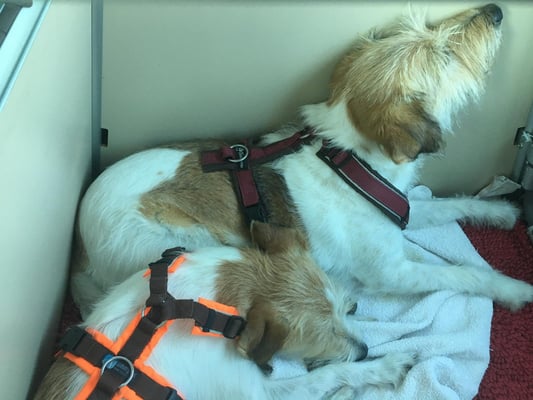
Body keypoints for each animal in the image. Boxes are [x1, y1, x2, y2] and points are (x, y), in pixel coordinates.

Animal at [35, 222, 415, 400]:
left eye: (347, 309)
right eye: (327, 334)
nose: (364, 349)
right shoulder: (255, 393)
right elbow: (331, 374)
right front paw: (385, 366)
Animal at [71, 3, 533, 319]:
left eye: (431, 28)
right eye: (444, 57)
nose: (495, 10)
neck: (351, 163)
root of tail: (80, 246)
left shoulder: (403, 212)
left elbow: (449, 205)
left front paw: (501, 211)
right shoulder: (393, 272)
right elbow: (462, 274)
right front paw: (513, 289)